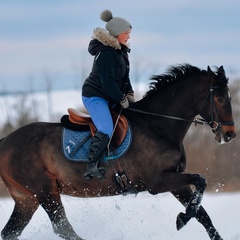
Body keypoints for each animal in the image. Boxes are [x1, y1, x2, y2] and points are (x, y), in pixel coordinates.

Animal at [0, 64, 236, 240]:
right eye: (220, 99)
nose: (230, 134)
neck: (158, 126)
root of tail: (5, 142)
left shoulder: (175, 181)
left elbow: (202, 213)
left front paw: (184, 217)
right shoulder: (158, 181)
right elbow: (201, 181)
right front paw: (183, 218)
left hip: (26, 199)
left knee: (11, 232)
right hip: (45, 191)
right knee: (63, 228)